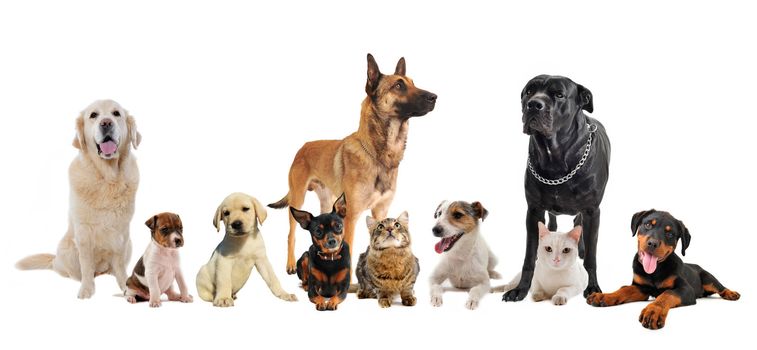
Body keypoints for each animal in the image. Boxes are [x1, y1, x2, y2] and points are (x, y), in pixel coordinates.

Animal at [16, 100, 142, 300]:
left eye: (116, 113)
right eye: (93, 115)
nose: (106, 123)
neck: (107, 178)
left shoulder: (121, 232)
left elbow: (120, 264)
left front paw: (126, 285)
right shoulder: (83, 232)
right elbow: (87, 265)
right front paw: (87, 289)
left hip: (129, 245)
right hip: (67, 249)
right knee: (74, 271)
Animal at [268, 53, 438, 274]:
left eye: (412, 83)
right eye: (399, 85)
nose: (434, 97)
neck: (378, 155)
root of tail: (303, 147)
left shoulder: (380, 211)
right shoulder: (350, 218)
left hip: (327, 203)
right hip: (297, 199)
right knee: (291, 234)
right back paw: (290, 264)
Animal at [504, 74, 612, 300]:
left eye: (559, 95)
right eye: (529, 91)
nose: (534, 104)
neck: (554, 155)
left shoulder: (592, 211)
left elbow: (591, 257)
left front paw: (592, 286)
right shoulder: (533, 210)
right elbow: (529, 256)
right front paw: (520, 289)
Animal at [584, 209, 740, 330]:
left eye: (670, 234)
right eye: (647, 224)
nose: (652, 243)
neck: (655, 271)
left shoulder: (686, 289)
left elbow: (667, 294)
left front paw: (654, 311)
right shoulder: (641, 287)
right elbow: (625, 289)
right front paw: (603, 296)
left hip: (708, 277)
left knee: (720, 287)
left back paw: (731, 293)